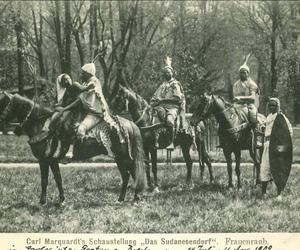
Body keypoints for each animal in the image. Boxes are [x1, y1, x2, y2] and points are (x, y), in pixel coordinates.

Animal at [0, 93, 145, 204]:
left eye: (4, 104)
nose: (2, 122)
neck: (41, 125)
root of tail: (130, 124)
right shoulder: (52, 161)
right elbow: (58, 179)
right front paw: (61, 199)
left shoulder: (44, 161)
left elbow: (44, 181)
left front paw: (42, 201)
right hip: (119, 158)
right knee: (127, 176)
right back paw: (123, 198)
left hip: (124, 157)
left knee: (133, 173)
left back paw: (135, 197)